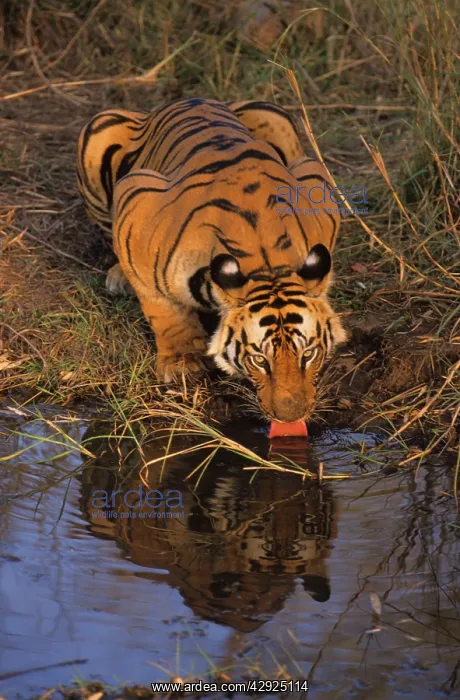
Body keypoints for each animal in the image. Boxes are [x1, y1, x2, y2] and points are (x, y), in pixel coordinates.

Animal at [77, 97, 347, 424]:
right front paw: (182, 362)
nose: (290, 417)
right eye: (259, 359)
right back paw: (118, 277)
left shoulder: (317, 182)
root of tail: (187, 99)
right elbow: (163, 309)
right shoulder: (135, 204)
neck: (268, 262)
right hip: (98, 130)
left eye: (308, 354)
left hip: (273, 115)